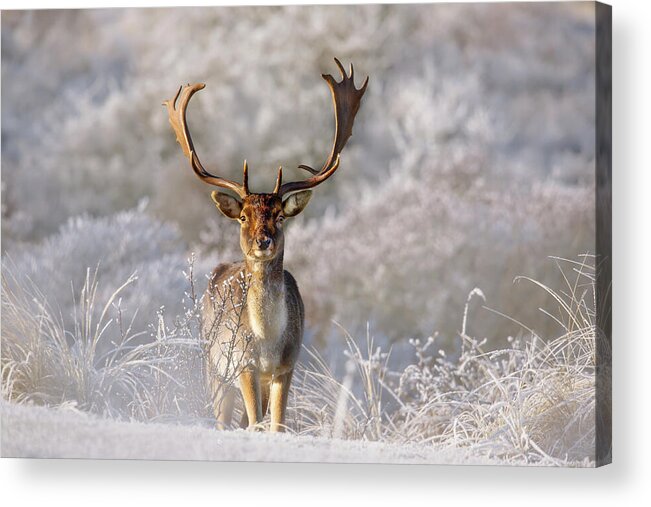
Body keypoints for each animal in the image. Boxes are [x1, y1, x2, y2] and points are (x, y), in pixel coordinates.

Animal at [164, 59, 368, 432]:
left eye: (280, 215)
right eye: (244, 216)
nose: (263, 240)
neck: (267, 342)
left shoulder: (287, 365)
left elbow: (275, 425)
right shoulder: (243, 364)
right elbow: (257, 422)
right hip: (213, 365)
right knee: (224, 417)